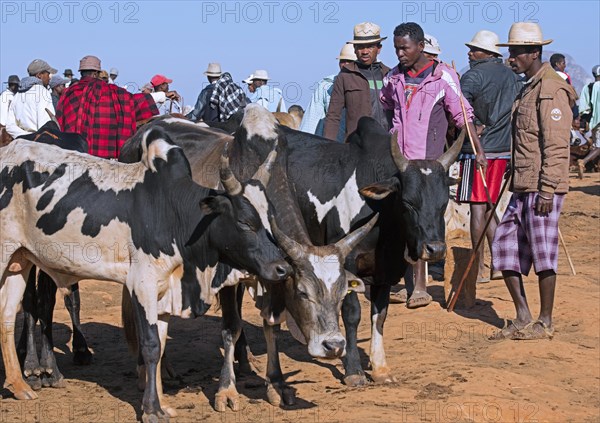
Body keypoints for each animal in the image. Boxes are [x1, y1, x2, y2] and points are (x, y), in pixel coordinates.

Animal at [0, 129, 290, 423]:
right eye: (244, 222)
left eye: (269, 220)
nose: (282, 268)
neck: (174, 214)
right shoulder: (142, 285)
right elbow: (150, 346)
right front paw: (151, 409)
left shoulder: (164, 291)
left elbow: (160, 348)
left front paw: (162, 405)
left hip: (20, 262)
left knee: (8, 316)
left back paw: (20, 386)